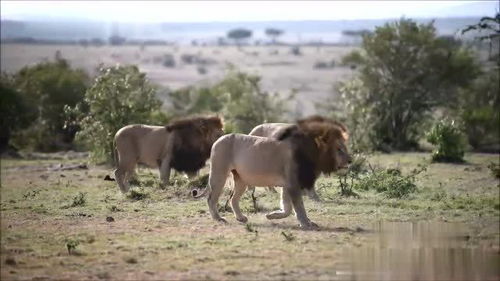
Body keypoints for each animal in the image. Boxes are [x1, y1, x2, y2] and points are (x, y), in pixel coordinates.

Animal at [196, 118, 352, 228]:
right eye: (339, 149)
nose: (350, 160)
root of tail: (218, 139)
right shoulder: (292, 183)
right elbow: (299, 206)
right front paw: (305, 223)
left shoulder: (288, 184)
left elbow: (288, 207)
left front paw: (272, 215)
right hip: (219, 173)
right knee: (211, 198)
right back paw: (219, 219)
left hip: (241, 179)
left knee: (233, 199)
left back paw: (241, 218)